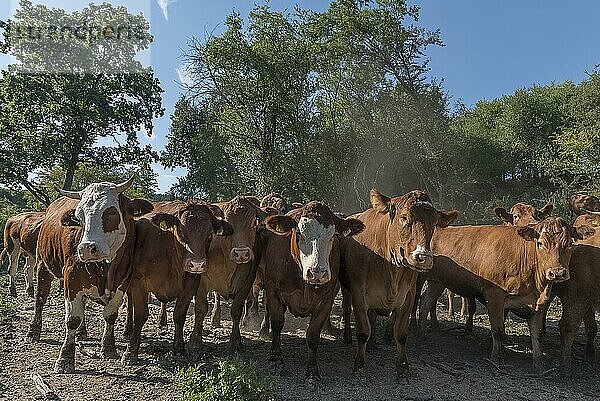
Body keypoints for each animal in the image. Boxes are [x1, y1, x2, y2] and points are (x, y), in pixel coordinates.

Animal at [27, 178, 154, 372]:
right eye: (79, 217)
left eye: (111, 212)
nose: (86, 248)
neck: (106, 268)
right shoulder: (72, 281)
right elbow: (72, 319)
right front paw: (65, 357)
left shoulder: (121, 283)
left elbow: (110, 316)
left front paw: (108, 348)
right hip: (43, 265)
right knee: (40, 299)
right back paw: (34, 330)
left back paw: (82, 332)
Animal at [121, 200, 232, 362]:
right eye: (181, 231)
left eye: (210, 234)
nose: (197, 264)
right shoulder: (138, 281)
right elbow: (140, 316)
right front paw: (131, 351)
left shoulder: (190, 285)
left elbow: (179, 316)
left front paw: (179, 349)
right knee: (129, 303)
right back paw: (127, 329)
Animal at [264, 202, 366, 380]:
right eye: (299, 233)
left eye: (333, 235)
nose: (317, 273)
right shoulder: (273, 290)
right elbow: (277, 325)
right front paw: (276, 361)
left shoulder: (326, 299)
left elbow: (312, 336)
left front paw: (312, 373)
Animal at [338, 189, 454, 376]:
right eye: (404, 217)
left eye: (434, 222)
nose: (423, 257)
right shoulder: (358, 293)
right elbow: (363, 331)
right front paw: (360, 364)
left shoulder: (408, 295)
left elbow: (400, 334)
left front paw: (403, 366)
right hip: (346, 288)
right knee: (347, 309)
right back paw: (348, 336)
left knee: (372, 316)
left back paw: (372, 344)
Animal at [420, 217, 592, 370]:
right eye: (541, 243)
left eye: (570, 243)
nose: (557, 273)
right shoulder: (494, 296)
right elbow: (498, 330)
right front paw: (496, 358)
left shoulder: (536, 303)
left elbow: (537, 334)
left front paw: (539, 363)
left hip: (437, 283)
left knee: (426, 303)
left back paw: (426, 329)